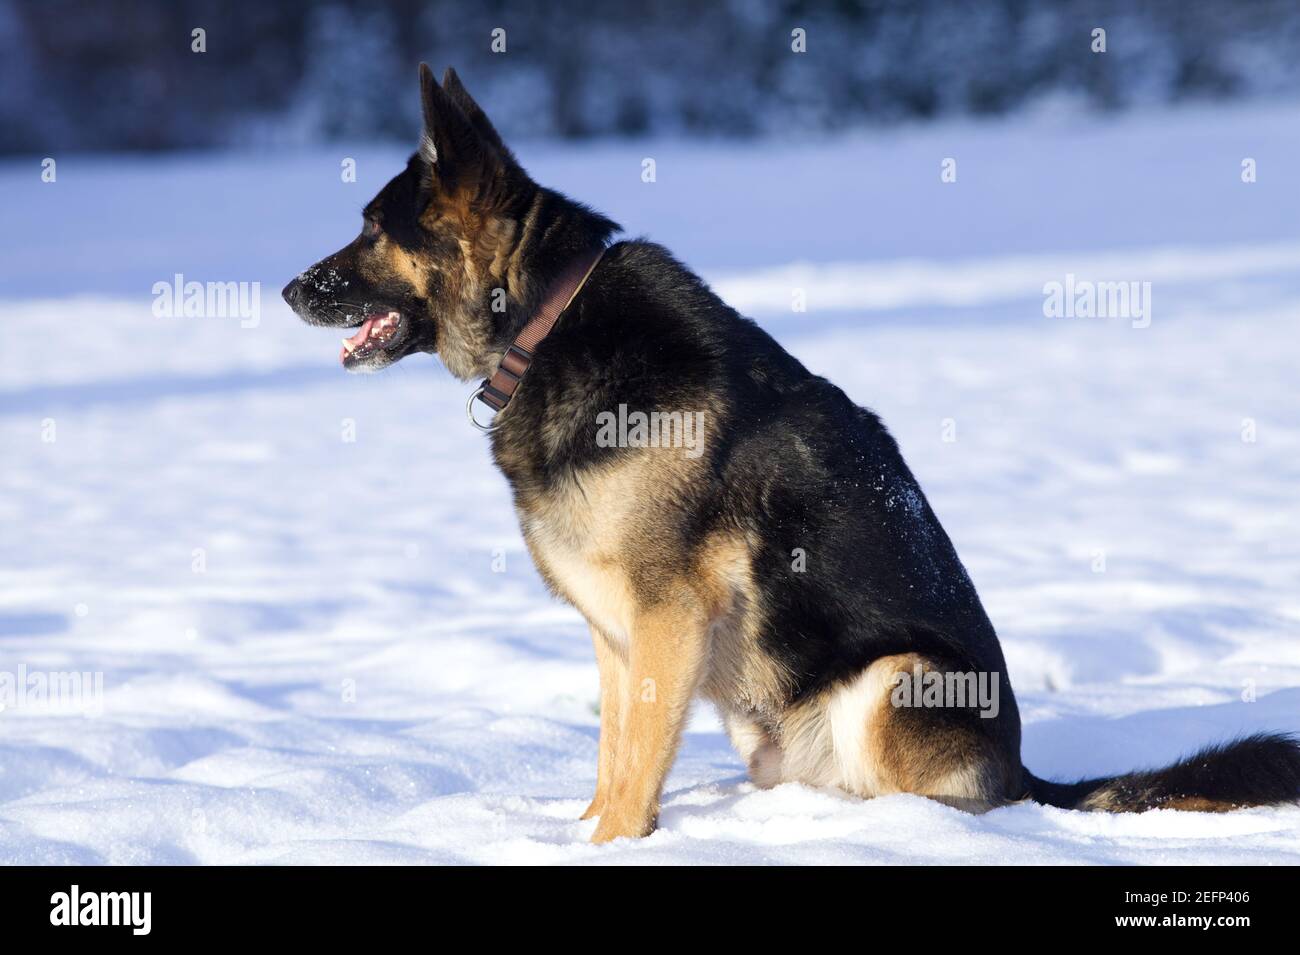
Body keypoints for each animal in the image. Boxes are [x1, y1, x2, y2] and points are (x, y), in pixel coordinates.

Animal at [284, 65, 1300, 841]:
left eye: (372, 228)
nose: (291, 289)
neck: (549, 323)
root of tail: (1023, 774)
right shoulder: (617, 635)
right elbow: (615, 760)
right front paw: (582, 835)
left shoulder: (665, 619)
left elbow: (635, 770)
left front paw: (613, 846)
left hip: (896, 681)